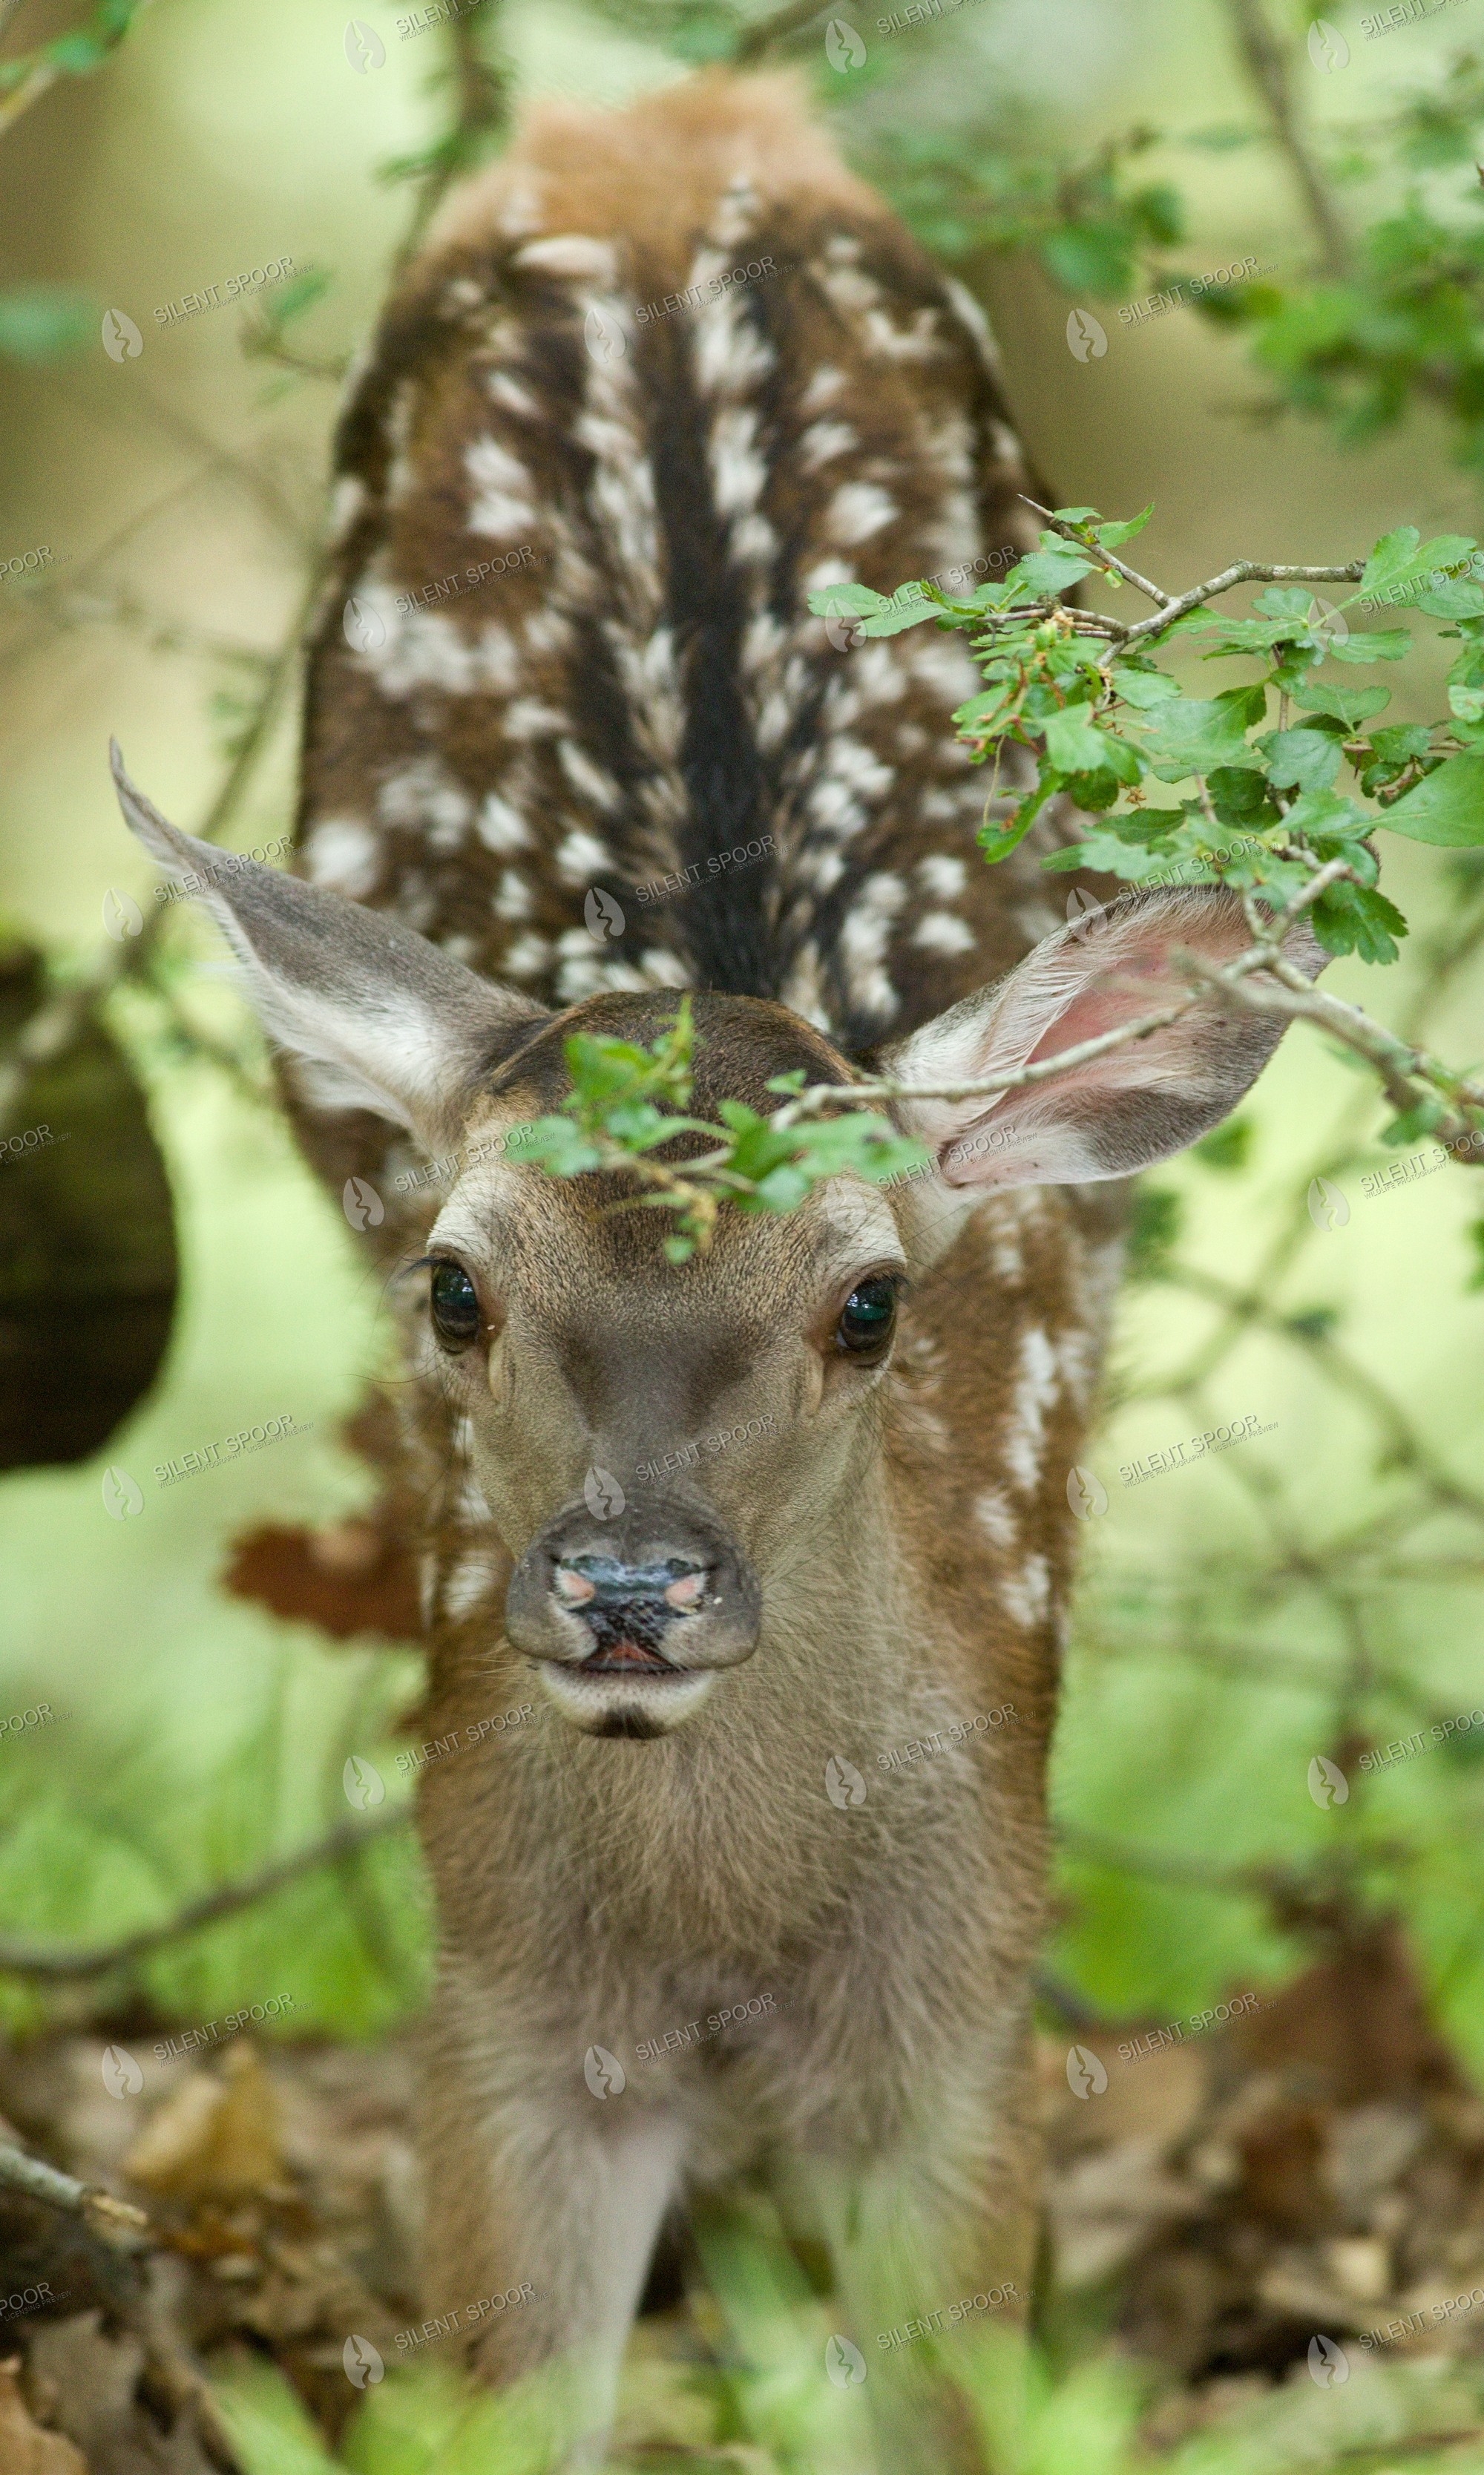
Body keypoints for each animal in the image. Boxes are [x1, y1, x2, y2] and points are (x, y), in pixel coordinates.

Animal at [111, 70, 1323, 2474]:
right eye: (458, 1285)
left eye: (869, 1299)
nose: (628, 1588)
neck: (722, 1930)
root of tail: (659, 117)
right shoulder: (496, 2000)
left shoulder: (964, 2018)